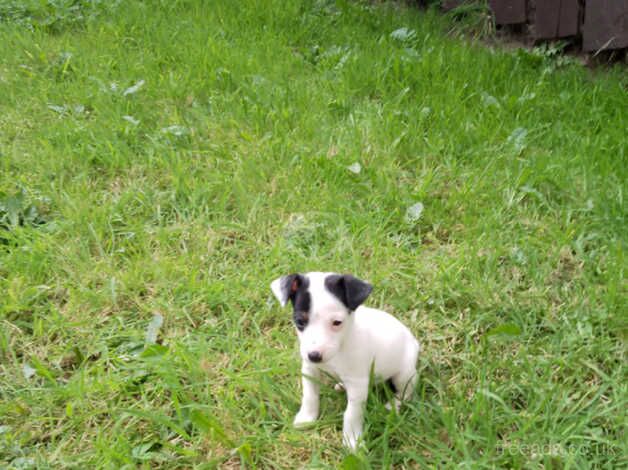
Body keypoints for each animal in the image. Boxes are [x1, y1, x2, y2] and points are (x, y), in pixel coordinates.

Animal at [272, 274, 422, 450]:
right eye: (300, 322)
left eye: (337, 322)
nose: (314, 356)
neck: (339, 349)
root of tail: (414, 341)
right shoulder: (310, 370)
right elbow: (309, 395)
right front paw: (306, 418)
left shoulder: (358, 385)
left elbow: (351, 414)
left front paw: (352, 442)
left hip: (404, 375)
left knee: (407, 393)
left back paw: (393, 405)